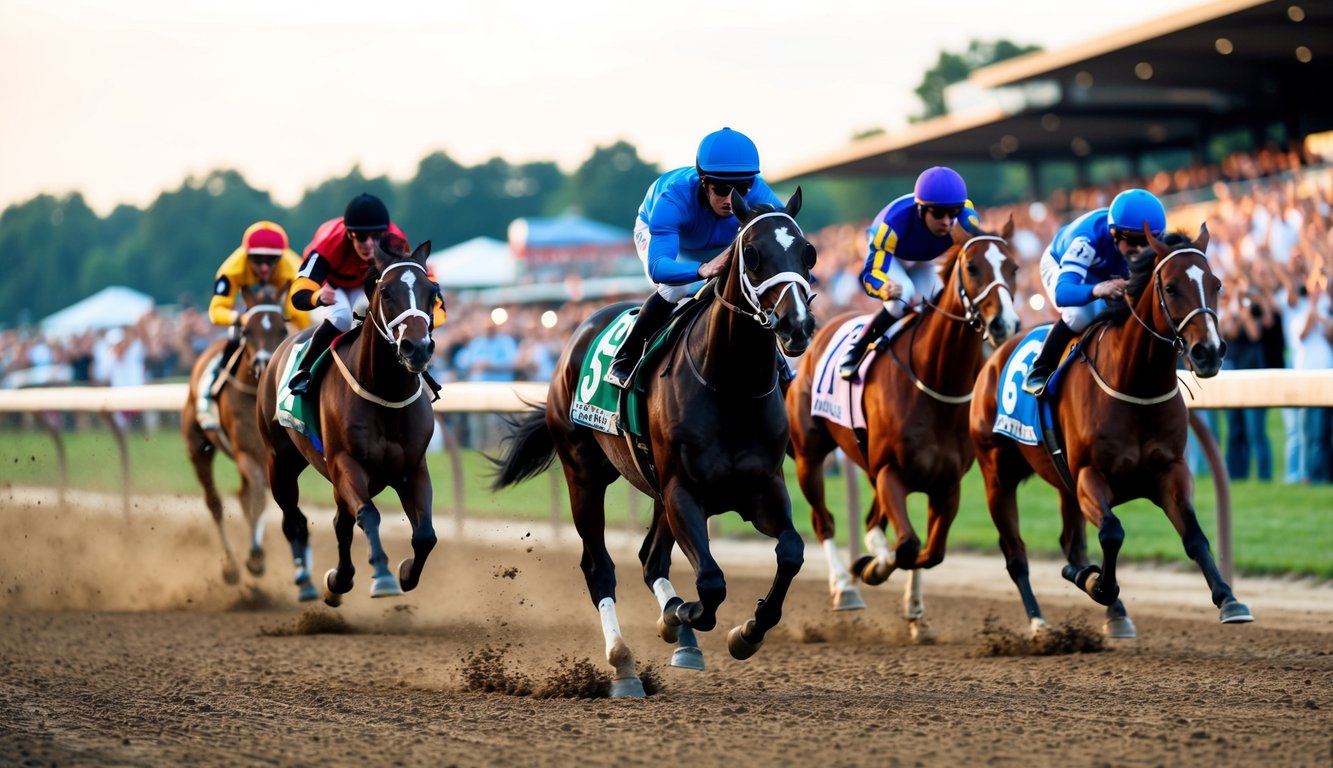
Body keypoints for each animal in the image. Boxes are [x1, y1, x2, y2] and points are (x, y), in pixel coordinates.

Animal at [182, 285, 291, 584]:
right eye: (247, 331)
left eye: (282, 329)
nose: (265, 366)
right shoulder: (245, 451)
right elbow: (258, 497)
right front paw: (254, 556)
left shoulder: (269, 455)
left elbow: (260, 499)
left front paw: (257, 555)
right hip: (198, 447)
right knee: (215, 503)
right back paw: (230, 565)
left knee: (244, 497)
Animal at [259, 240, 442, 605]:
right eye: (385, 292)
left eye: (432, 292)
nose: (416, 348)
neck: (385, 393)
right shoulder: (346, 463)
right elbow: (369, 515)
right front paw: (382, 575)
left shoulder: (412, 469)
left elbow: (426, 535)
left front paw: (405, 572)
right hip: (280, 463)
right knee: (295, 520)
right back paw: (311, 580)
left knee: (340, 522)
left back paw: (338, 580)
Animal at [495, 190, 815, 693]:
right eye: (752, 254)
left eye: (808, 253)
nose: (796, 325)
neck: (731, 386)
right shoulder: (682, 489)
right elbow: (711, 582)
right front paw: (683, 615)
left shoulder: (762, 487)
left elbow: (791, 553)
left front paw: (746, 631)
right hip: (584, 474)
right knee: (600, 568)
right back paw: (624, 662)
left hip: (655, 489)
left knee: (650, 559)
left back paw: (678, 635)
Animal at [783, 216, 1013, 634]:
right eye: (973, 268)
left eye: (1015, 267)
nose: (1005, 323)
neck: (934, 382)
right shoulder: (891, 470)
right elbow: (907, 545)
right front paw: (871, 568)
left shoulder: (945, 484)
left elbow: (929, 551)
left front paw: (910, 601)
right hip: (811, 454)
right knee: (823, 520)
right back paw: (845, 587)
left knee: (878, 523)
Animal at [970, 226, 1247, 634]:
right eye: (1171, 287)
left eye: (1217, 284)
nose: (1208, 352)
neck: (1137, 384)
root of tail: (994, 357)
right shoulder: (1090, 475)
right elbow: (1112, 532)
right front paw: (1101, 586)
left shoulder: (1171, 470)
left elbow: (1194, 536)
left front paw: (1229, 599)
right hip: (996, 475)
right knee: (1016, 553)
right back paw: (1040, 619)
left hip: (1061, 483)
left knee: (1071, 544)